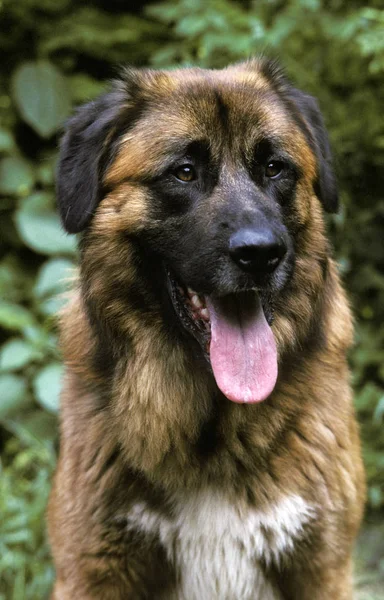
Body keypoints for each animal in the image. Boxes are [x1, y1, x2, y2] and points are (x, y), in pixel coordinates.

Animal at [48, 57, 366, 600]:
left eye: (274, 167)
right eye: (185, 172)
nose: (261, 254)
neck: (212, 434)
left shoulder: (322, 569)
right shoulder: (92, 571)